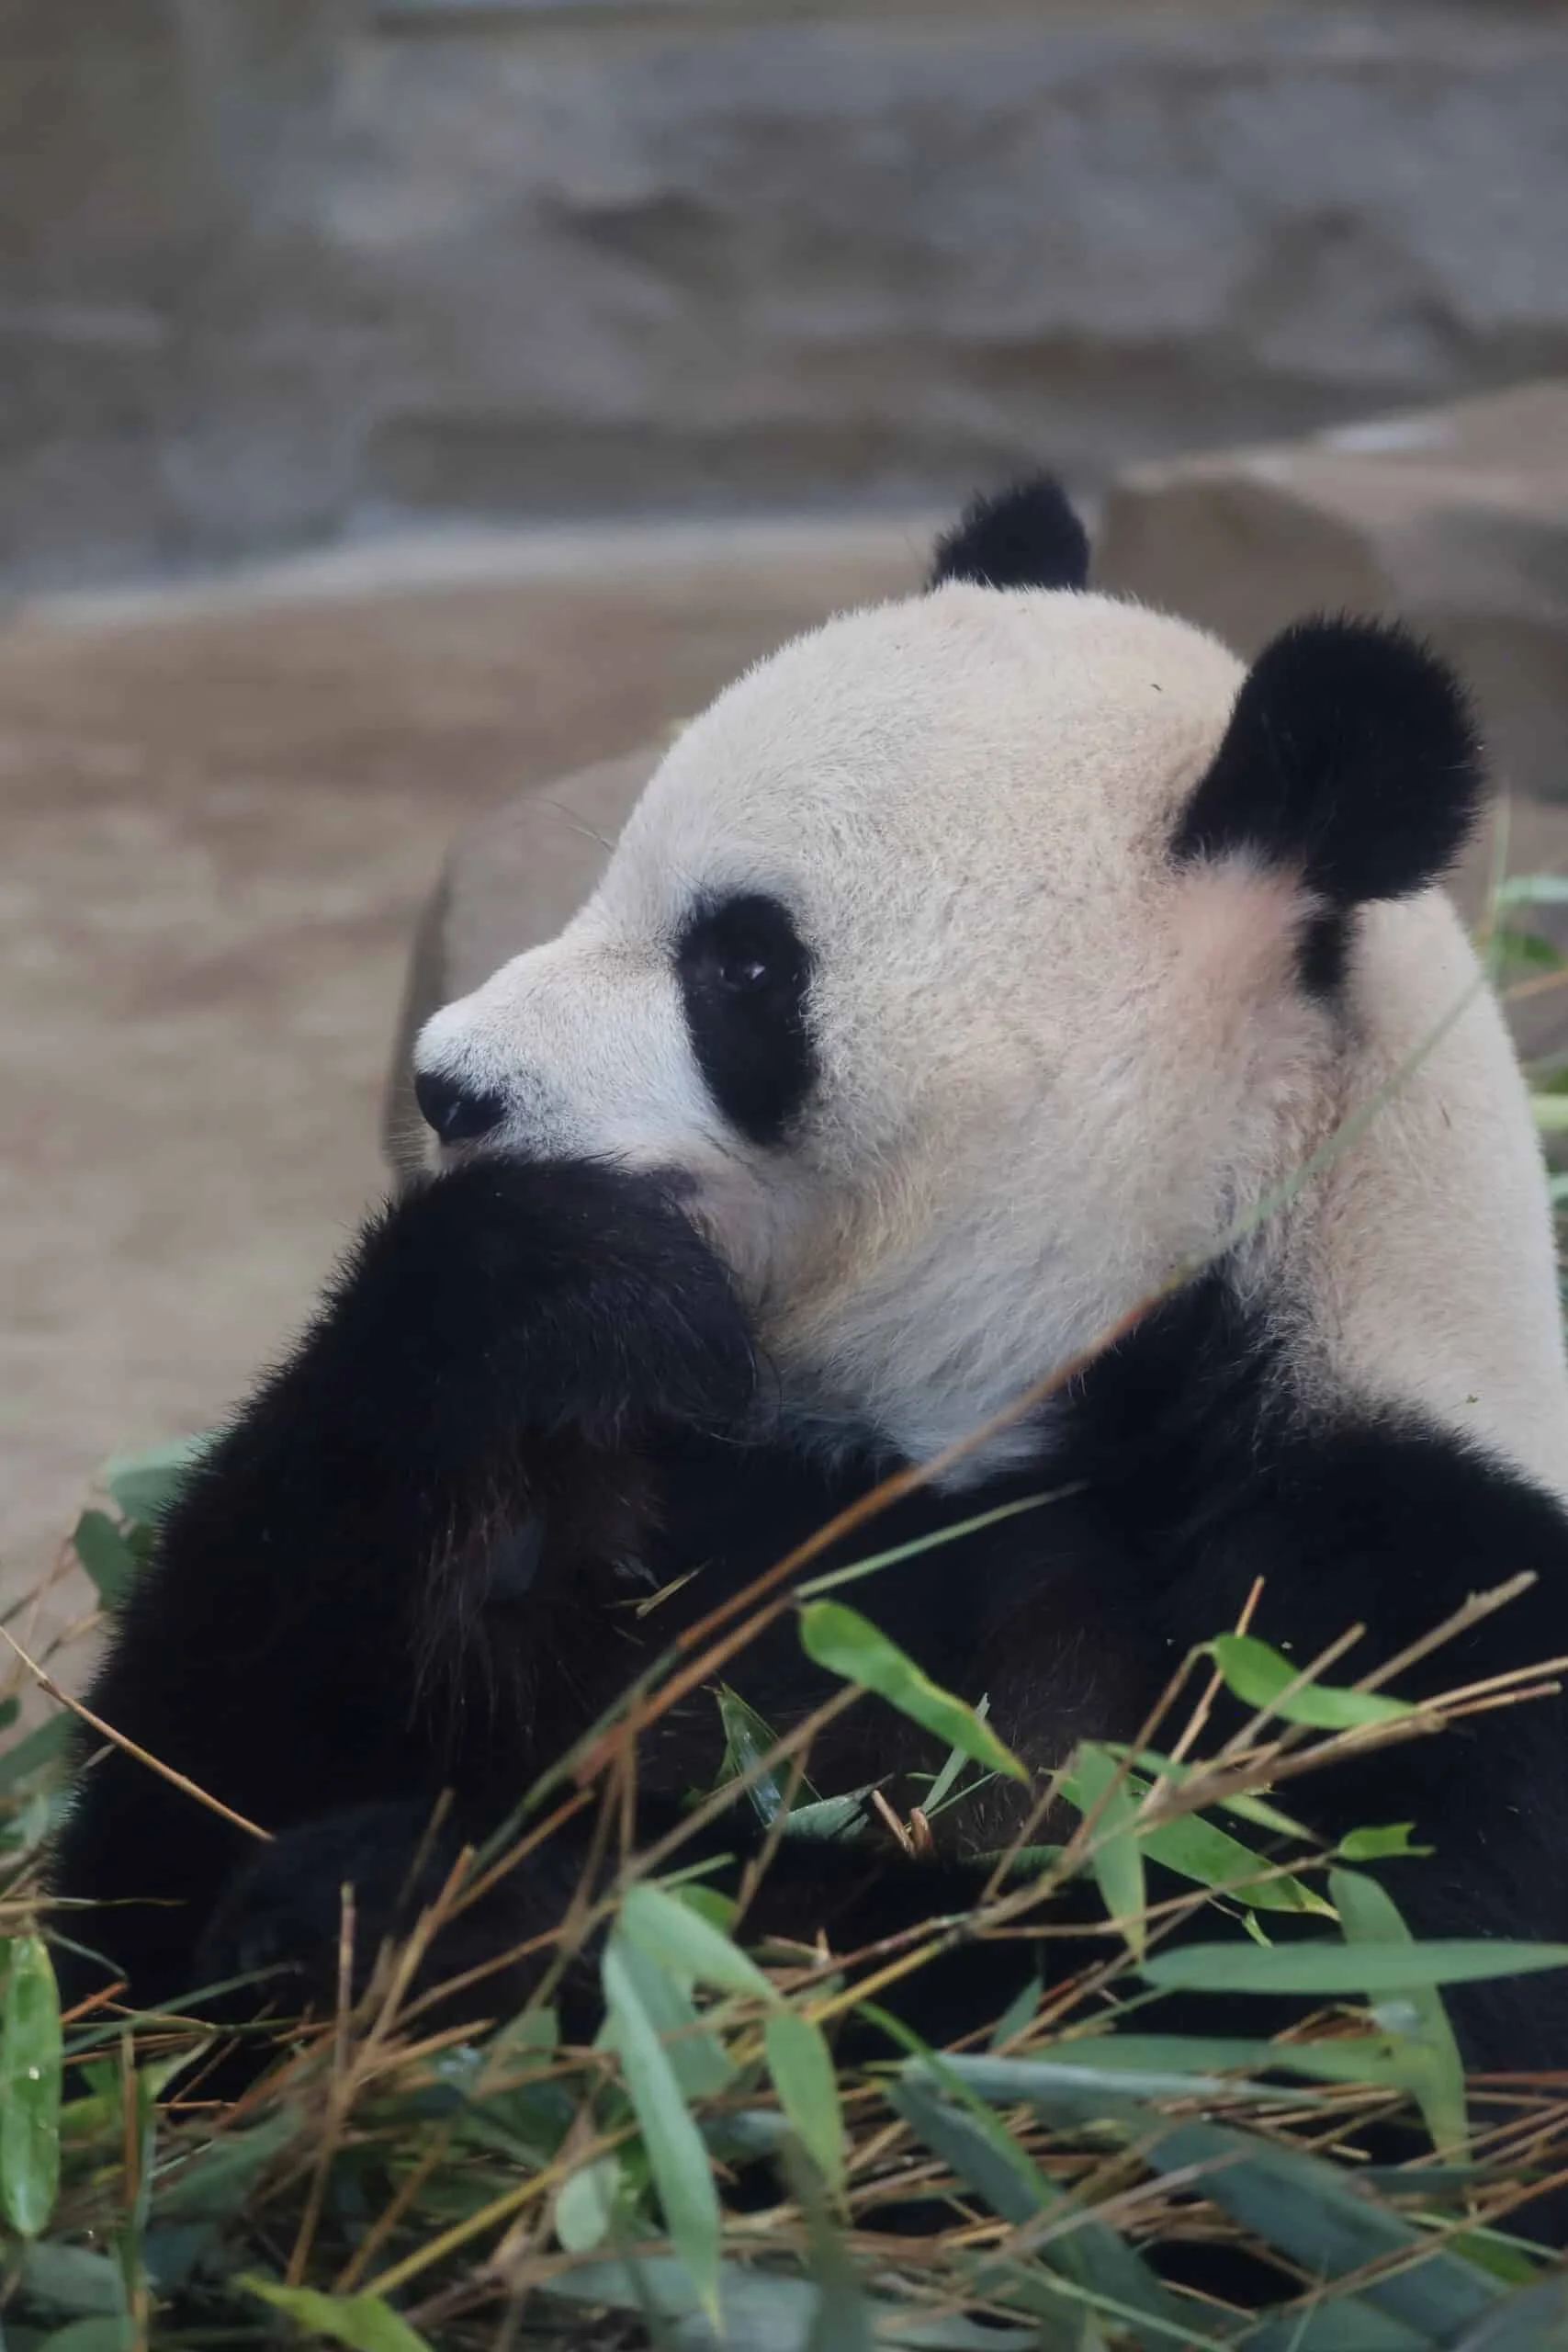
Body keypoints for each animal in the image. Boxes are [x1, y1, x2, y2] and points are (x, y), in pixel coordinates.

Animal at [52, 478, 1568, 2129]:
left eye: (745, 964)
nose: (450, 1086)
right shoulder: (682, 1491)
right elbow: (141, 1888)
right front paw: (557, 1274)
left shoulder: (1417, 1612)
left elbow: (1271, 2015)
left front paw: (426, 1899)